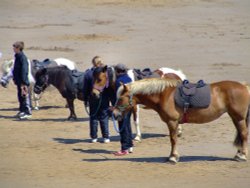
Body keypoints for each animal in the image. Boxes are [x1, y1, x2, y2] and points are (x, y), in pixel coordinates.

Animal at [113, 78, 250, 163]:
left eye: (120, 99)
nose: (114, 114)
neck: (164, 95)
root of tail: (244, 86)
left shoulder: (172, 122)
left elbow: (173, 140)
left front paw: (173, 157)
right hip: (235, 118)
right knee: (241, 134)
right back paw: (238, 154)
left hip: (239, 118)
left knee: (244, 134)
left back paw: (242, 155)